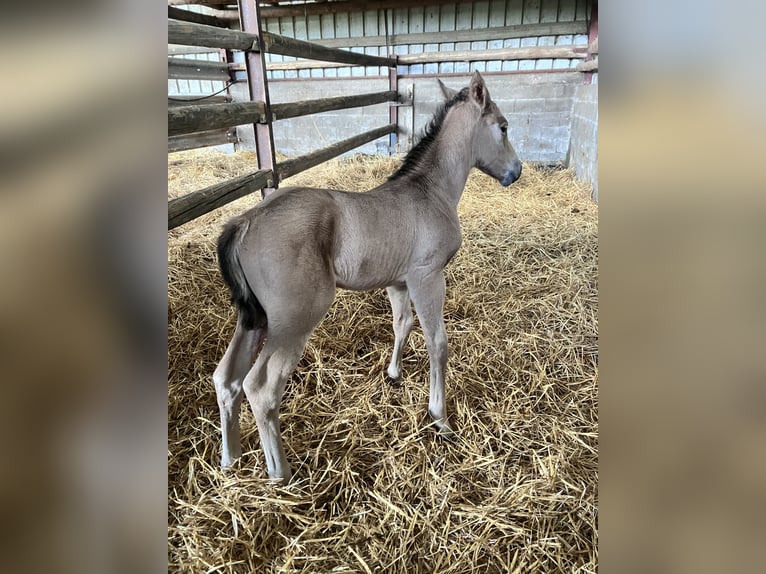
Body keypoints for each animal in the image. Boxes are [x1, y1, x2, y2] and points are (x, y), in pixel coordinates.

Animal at [213, 72, 522, 481]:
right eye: (503, 126)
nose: (516, 172)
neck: (431, 193)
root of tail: (244, 221)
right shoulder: (427, 277)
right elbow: (437, 343)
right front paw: (440, 418)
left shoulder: (398, 282)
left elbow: (402, 324)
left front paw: (393, 373)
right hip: (293, 320)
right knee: (261, 387)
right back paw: (282, 474)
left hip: (253, 318)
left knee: (226, 379)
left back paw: (229, 460)